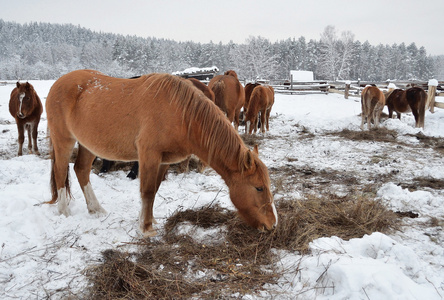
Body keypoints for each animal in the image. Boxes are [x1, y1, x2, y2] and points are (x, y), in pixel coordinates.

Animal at [45, 69, 278, 237]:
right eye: (259, 187)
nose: (273, 225)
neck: (180, 114)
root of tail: (58, 83)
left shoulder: (164, 161)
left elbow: (154, 190)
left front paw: (148, 220)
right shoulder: (149, 156)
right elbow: (147, 191)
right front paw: (146, 229)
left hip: (87, 145)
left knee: (81, 170)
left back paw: (96, 209)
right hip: (64, 140)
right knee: (60, 172)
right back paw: (64, 211)